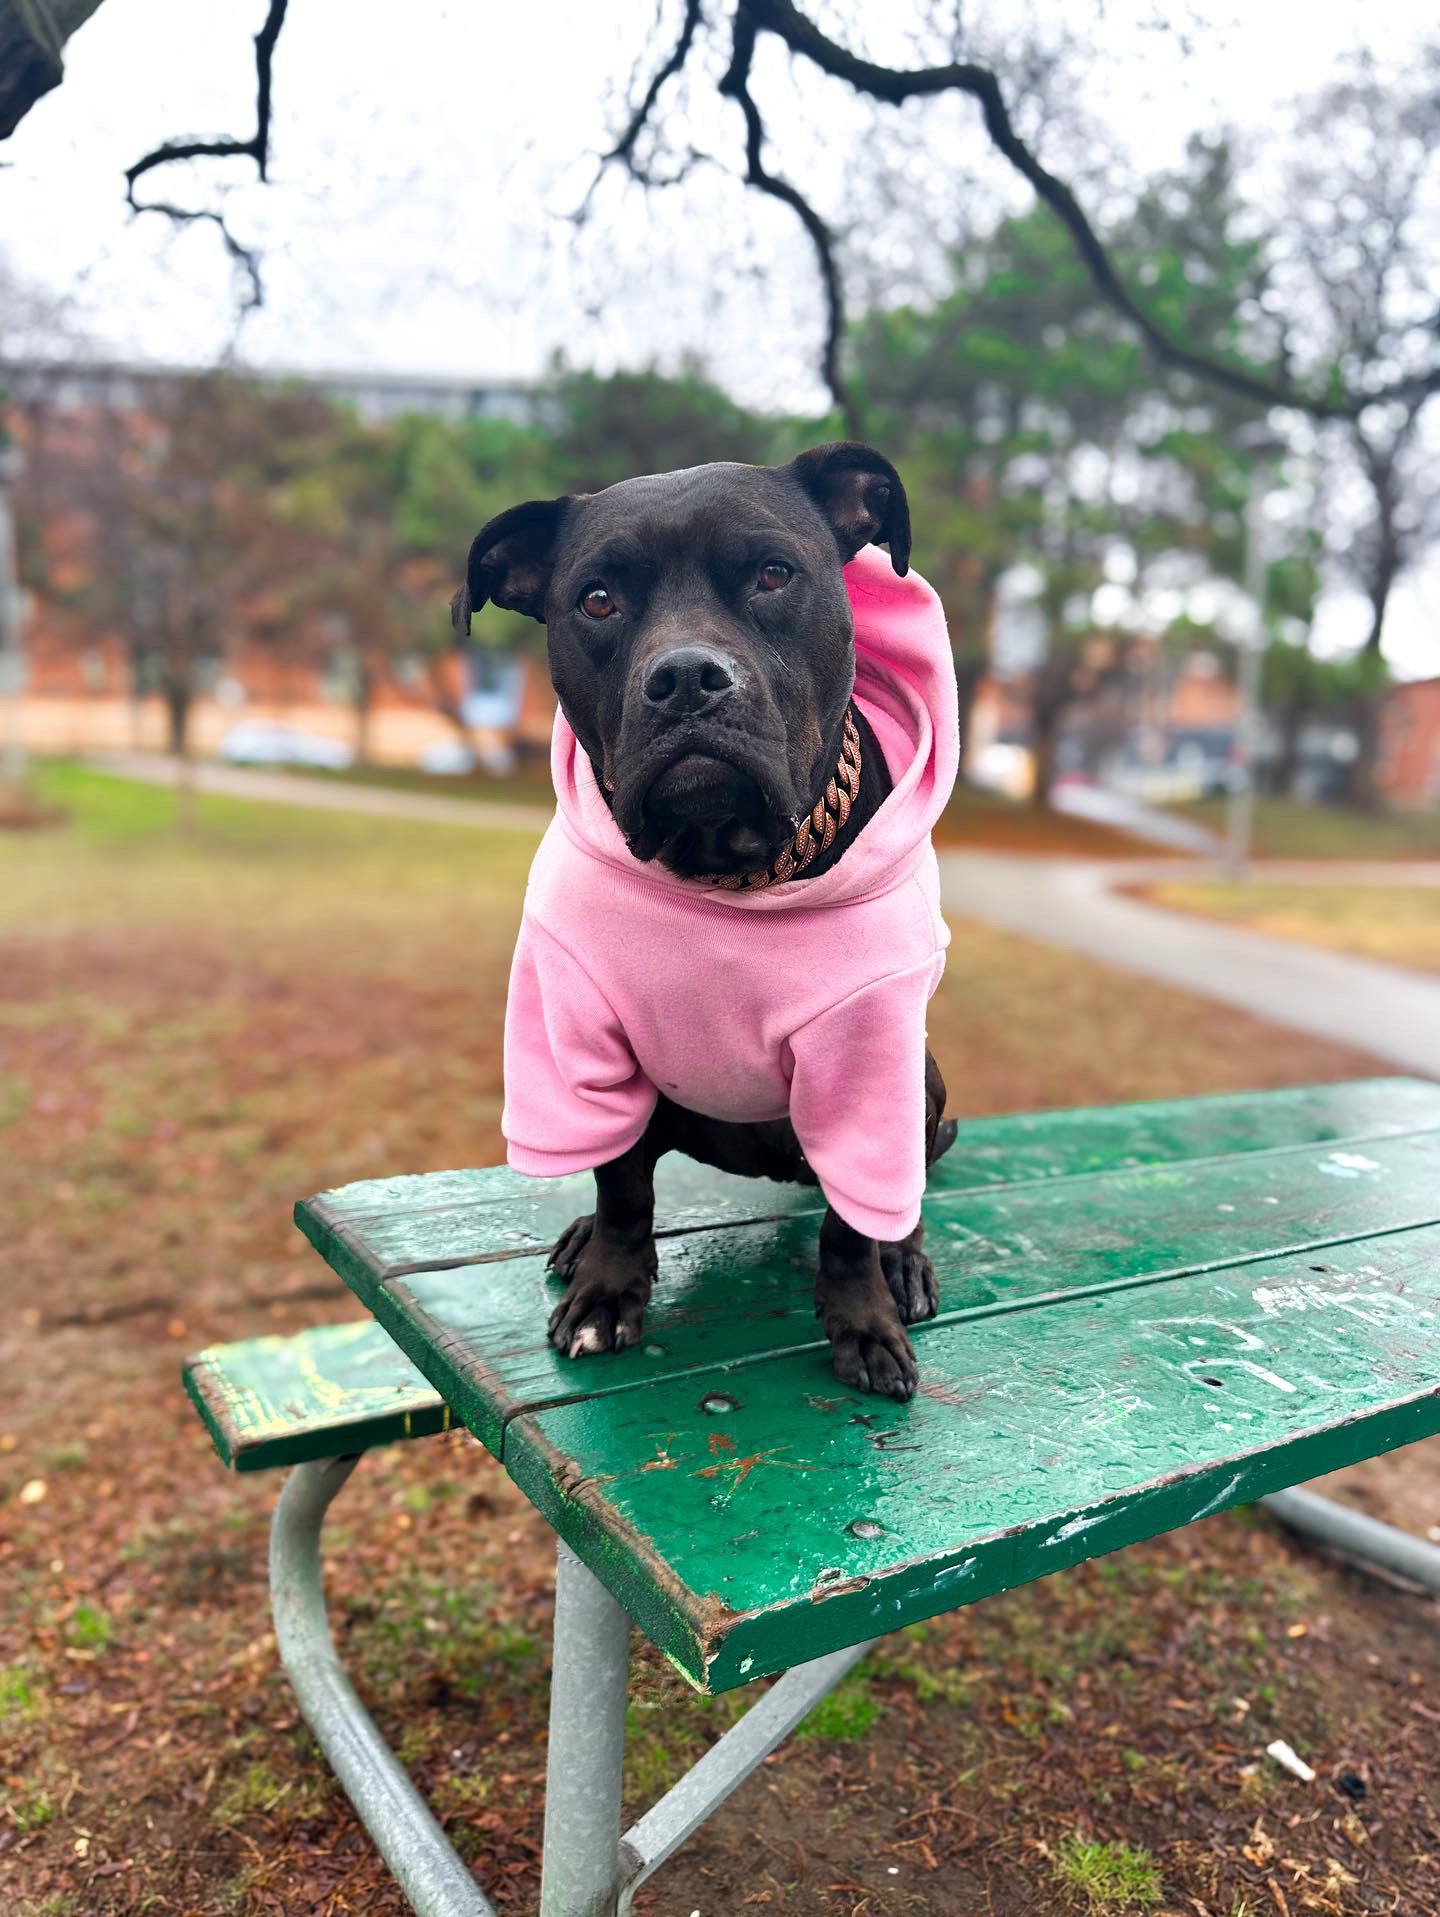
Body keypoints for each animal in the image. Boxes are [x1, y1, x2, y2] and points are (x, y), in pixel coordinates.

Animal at [452, 440, 958, 1403]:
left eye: (772, 574)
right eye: (597, 599)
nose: (686, 676)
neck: (726, 864)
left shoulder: (867, 1055)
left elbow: (849, 1227)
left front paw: (863, 1320)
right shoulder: (588, 1036)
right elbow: (622, 1190)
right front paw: (607, 1288)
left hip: (923, 1080)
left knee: (891, 1194)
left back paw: (903, 1261)